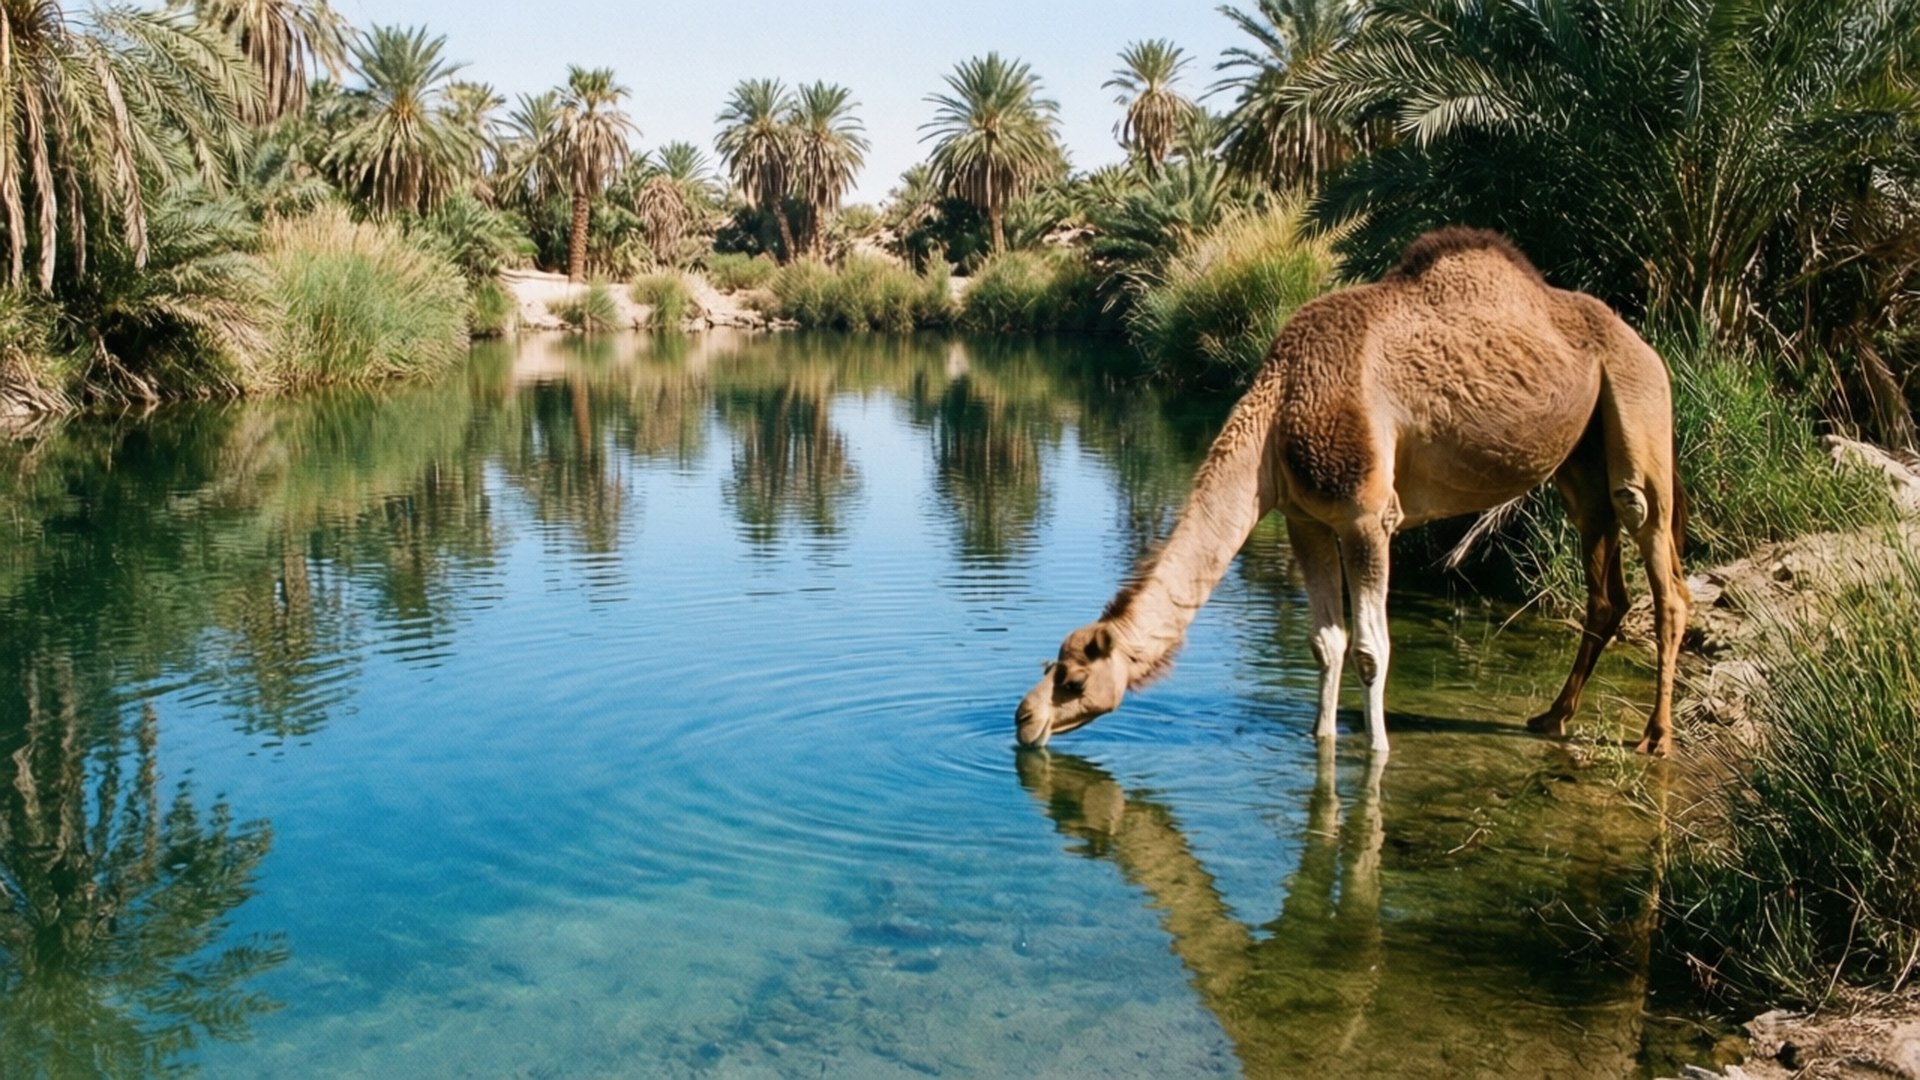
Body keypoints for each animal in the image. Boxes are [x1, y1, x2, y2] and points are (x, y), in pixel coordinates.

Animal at [1015, 228, 1689, 756]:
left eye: (1074, 679)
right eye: (1053, 667)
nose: (1024, 718)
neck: (1280, 408)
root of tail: (1644, 342)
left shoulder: (1368, 515)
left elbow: (1370, 648)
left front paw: (1378, 753)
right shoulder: (1307, 519)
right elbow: (1326, 642)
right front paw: (1322, 741)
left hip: (1639, 405)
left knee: (1659, 559)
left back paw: (1655, 737)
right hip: (1579, 463)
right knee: (1605, 587)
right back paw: (1552, 717)